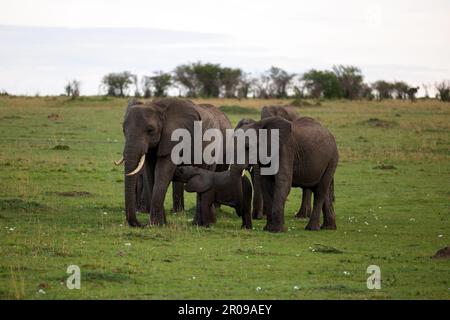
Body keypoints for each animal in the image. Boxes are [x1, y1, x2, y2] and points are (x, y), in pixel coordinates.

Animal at [118, 98, 230, 228]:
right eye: (123, 130)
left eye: (150, 130)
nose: (141, 224)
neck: (156, 107)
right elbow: (150, 173)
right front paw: (161, 224)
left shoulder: (174, 138)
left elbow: (162, 173)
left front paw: (156, 224)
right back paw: (204, 223)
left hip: (213, 149)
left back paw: (202, 224)